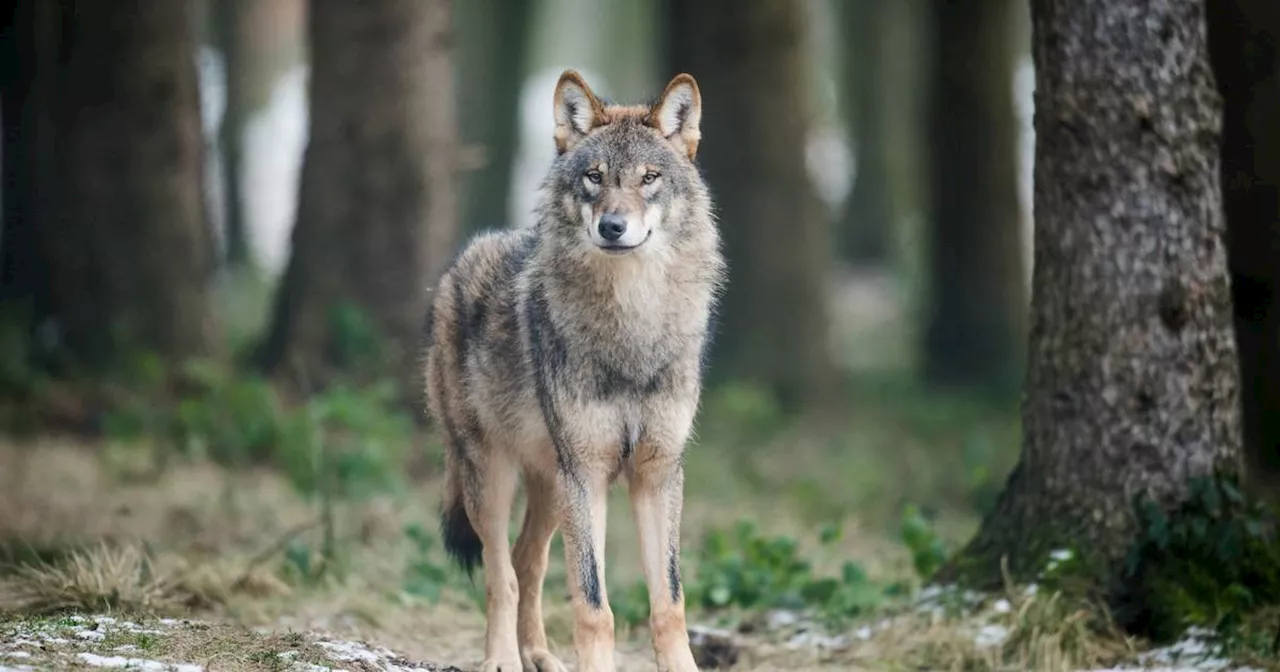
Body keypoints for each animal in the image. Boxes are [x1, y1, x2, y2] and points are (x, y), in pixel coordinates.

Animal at [419, 69, 721, 670]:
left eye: (649, 178)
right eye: (594, 177)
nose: (613, 226)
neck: (632, 328)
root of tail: (457, 265)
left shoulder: (657, 473)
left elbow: (669, 603)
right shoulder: (586, 472)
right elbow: (593, 604)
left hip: (549, 487)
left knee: (527, 562)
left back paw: (538, 654)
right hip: (494, 476)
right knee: (502, 573)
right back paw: (502, 659)